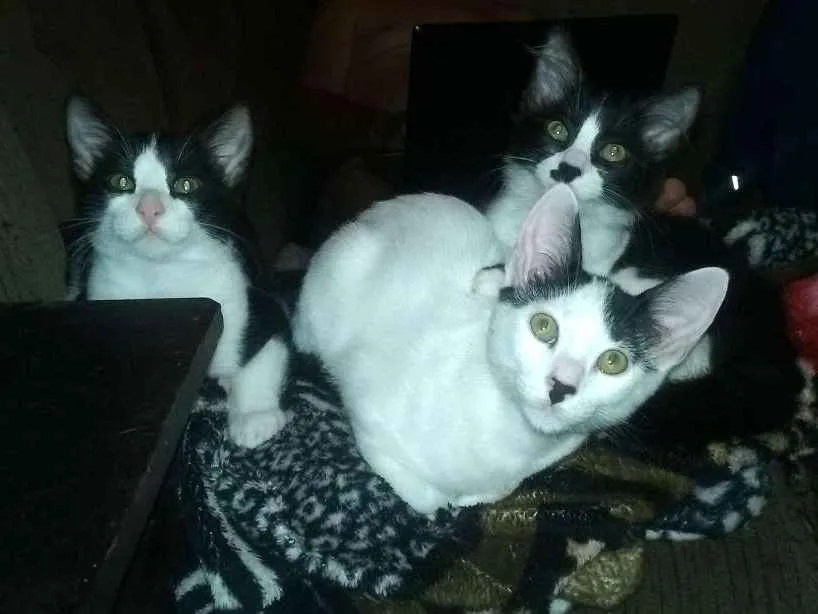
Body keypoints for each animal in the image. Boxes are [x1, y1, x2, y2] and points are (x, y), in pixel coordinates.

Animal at [64, 97, 289, 448]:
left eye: (185, 185)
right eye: (120, 182)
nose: (149, 208)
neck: (161, 278)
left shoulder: (253, 301)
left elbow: (265, 350)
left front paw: (255, 416)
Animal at [291, 183, 728, 514]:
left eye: (613, 361)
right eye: (543, 326)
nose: (560, 385)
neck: (512, 439)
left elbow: (498, 490)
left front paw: (470, 497)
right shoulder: (368, 418)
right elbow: (422, 496)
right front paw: (441, 500)